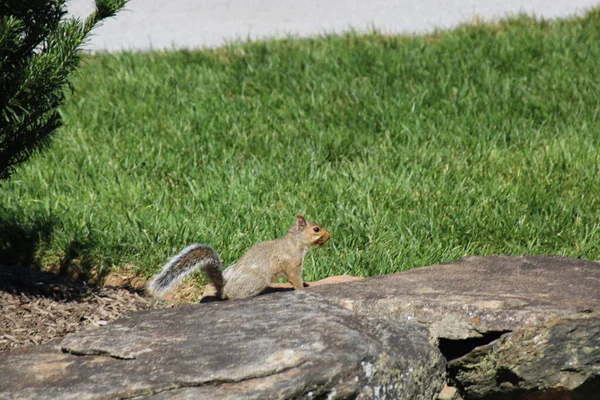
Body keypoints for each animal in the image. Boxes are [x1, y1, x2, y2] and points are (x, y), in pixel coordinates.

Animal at [147, 214, 330, 298]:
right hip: (258, 279)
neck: (296, 242)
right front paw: (303, 288)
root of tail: (224, 288)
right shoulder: (291, 263)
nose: (330, 235)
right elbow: (294, 279)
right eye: (316, 229)